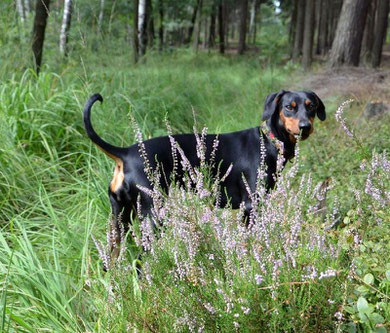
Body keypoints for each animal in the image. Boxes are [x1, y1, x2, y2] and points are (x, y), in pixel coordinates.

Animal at [83, 89, 326, 245]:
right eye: (289, 107)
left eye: (311, 107)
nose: (305, 126)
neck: (269, 141)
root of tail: (125, 153)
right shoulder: (251, 206)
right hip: (153, 215)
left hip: (119, 220)